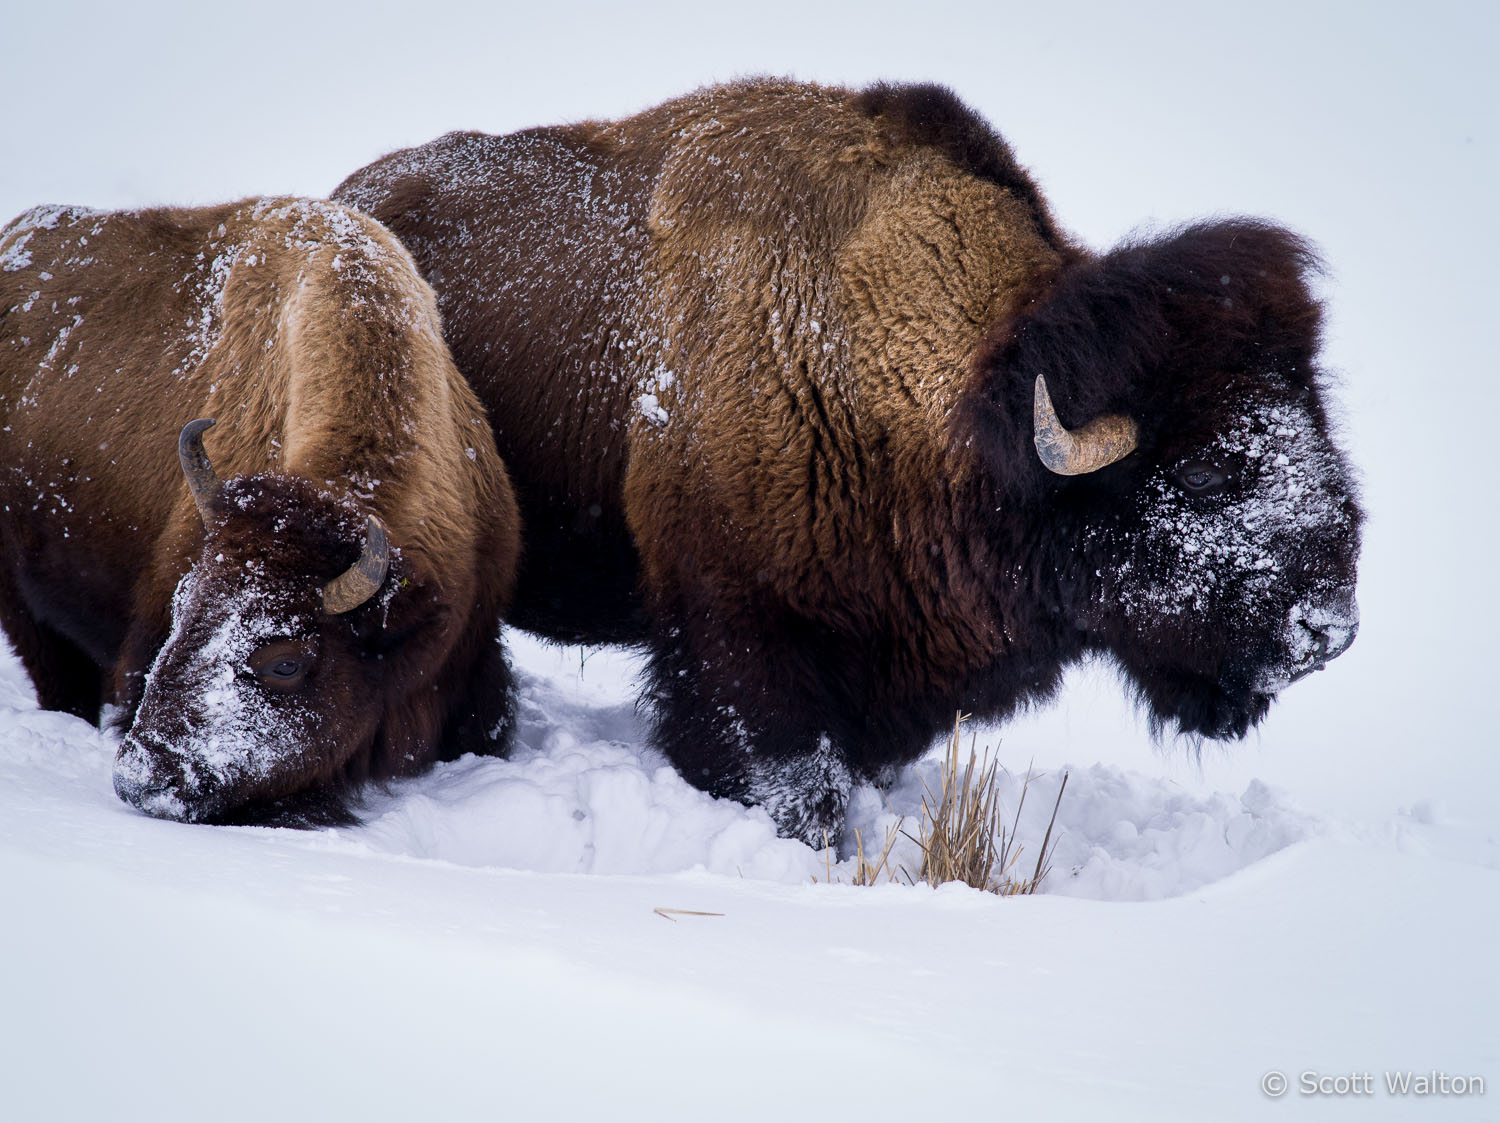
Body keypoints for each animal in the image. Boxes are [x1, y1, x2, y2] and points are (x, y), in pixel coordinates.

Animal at [334, 78, 1368, 845]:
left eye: (1316, 421)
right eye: (1203, 474)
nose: (1329, 626)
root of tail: (347, 199)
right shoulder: (740, 644)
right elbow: (791, 781)